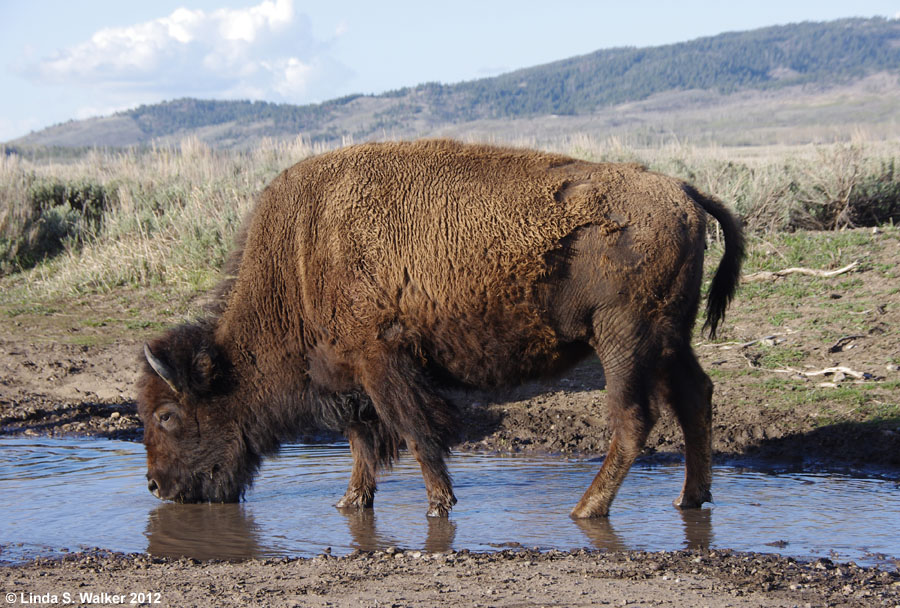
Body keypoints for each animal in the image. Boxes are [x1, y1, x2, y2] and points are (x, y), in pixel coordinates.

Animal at [139, 139, 744, 516]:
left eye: (168, 415)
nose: (155, 486)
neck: (300, 259)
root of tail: (685, 191)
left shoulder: (383, 362)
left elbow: (415, 433)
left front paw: (439, 505)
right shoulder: (353, 378)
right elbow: (363, 441)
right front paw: (350, 502)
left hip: (625, 339)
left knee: (634, 420)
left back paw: (586, 509)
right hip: (669, 340)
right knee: (695, 396)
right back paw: (690, 498)